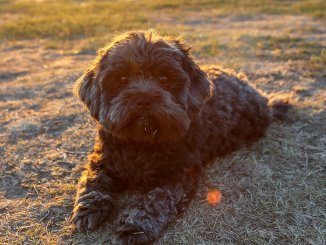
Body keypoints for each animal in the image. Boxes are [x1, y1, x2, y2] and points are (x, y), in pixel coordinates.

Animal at [72, 29, 290, 244]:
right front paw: (89, 208)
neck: (142, 142)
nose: (143, 98)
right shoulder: (103, 159)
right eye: (123, 79)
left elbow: (158, 200)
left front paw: (135, 226)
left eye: (163, 79)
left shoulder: (178, 174)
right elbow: (93, 181)